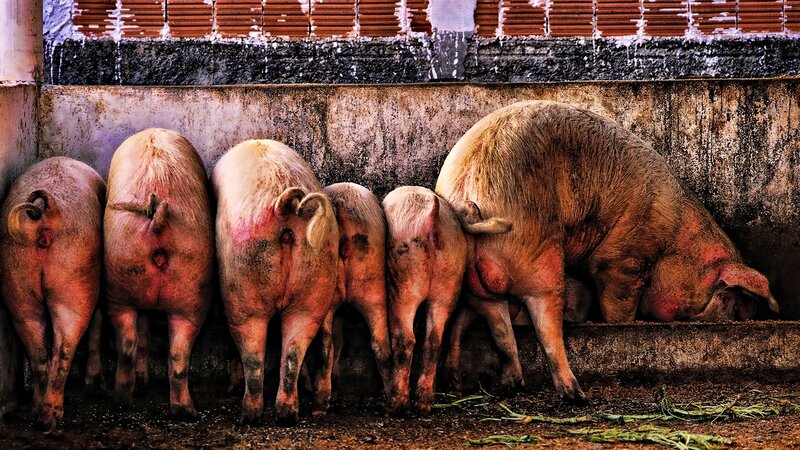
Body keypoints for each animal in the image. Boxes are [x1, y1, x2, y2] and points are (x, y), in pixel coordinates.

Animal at [0, 157, 105, 429]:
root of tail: (47, 211)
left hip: (16, 278)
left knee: (38, 349)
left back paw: (39, 414)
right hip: (76, 273)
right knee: (65, 346)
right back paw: (53, 419)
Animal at [104, 128, 213, 418]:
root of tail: (157, 223)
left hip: (121, 280)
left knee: (131, 344)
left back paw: (126, 400)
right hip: (188, 285)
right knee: (172, 354)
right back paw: (183, 410)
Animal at [212, 139, 339, 425]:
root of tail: (284, 206)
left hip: (243, 281)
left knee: (252, 350)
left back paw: (248, 416)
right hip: (315, 282)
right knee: (296, 348)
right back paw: (287, 414)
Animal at [382, 186, 510, 415]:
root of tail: (431, 219)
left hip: (405, 275)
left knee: (406, 338)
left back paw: (395, 407)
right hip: (449, 278)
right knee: (433, 340)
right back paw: (423, 404)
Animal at [436, 100, 778, 401]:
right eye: (727, 299)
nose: (733, 321)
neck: (674, 239)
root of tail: (469, 194)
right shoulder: (625, 258)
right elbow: (618, 302)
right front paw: (623, 326)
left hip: (480, 281)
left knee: (493, 325)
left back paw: (485, 383)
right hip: (538, 253)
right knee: (545, 320)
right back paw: (576, 395)